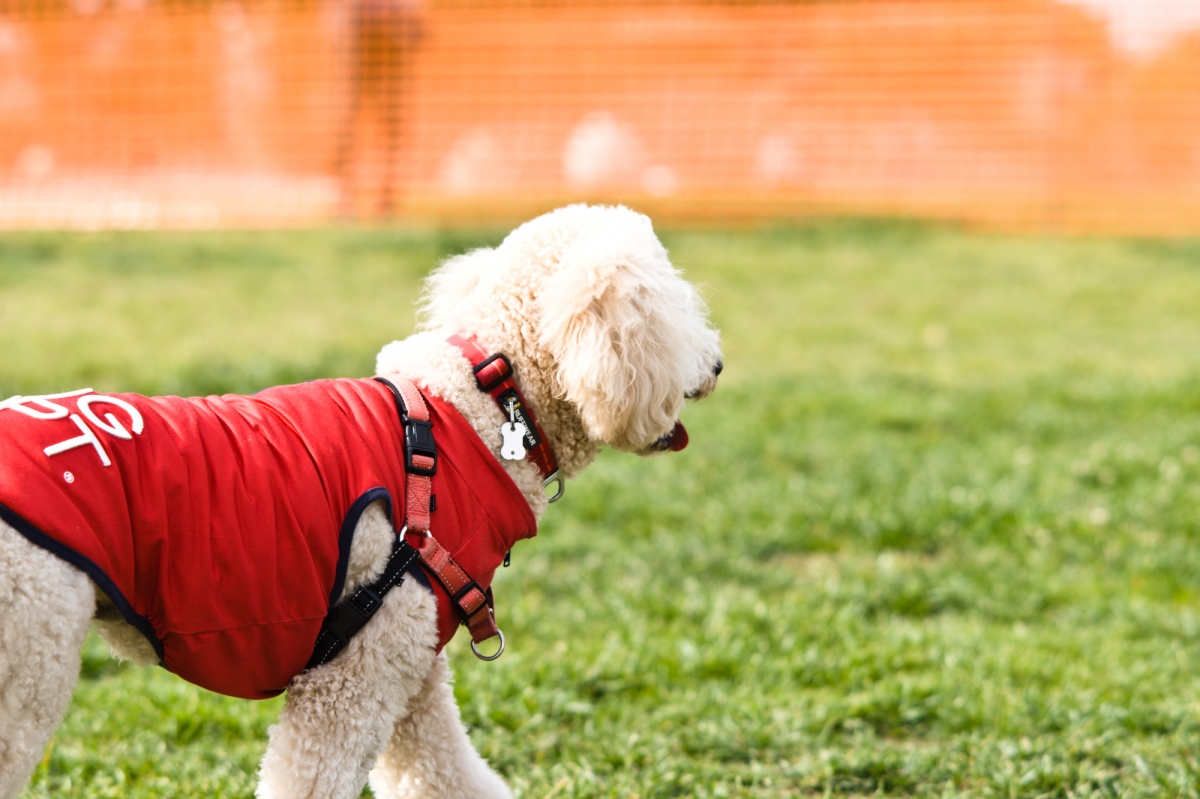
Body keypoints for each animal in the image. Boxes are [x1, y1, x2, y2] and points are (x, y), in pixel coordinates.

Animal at [0, 203, 722, 799]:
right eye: (673, 301)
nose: (717, 366)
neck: (478, 402)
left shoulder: (412, 674)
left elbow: (445, 777)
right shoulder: (351, 681)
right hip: (31, 655)